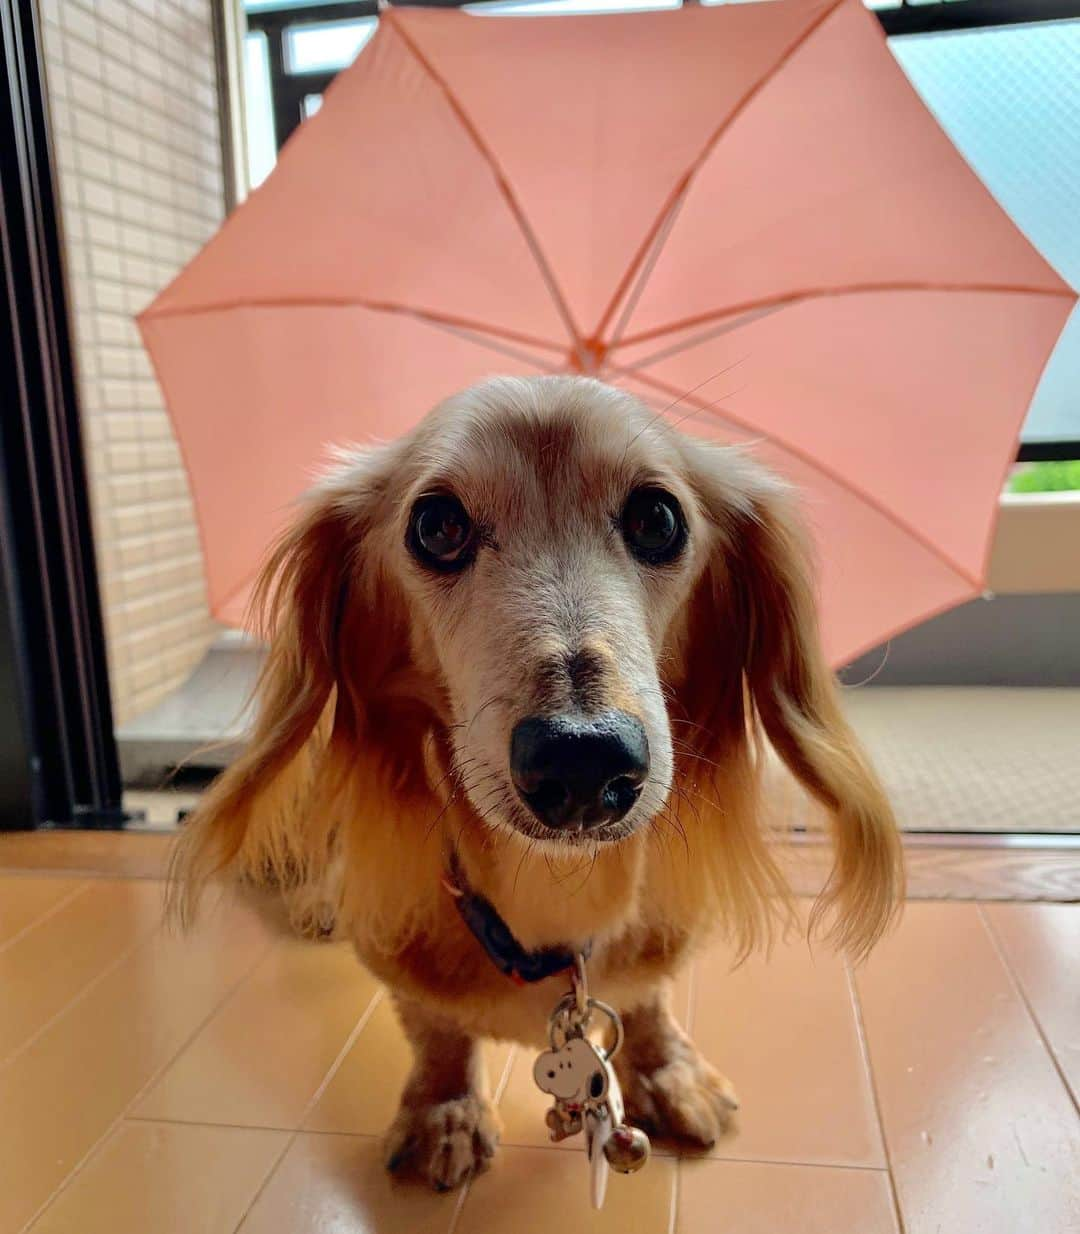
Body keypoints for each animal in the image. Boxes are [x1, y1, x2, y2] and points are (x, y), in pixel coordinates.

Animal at [175, 372, 903, 1184]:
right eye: (437, 526)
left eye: (657, 518)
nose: (583, 757)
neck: (557, 892)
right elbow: (434, 1025)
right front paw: (443, 1109)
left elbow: (646, 998)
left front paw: (667, 1070)